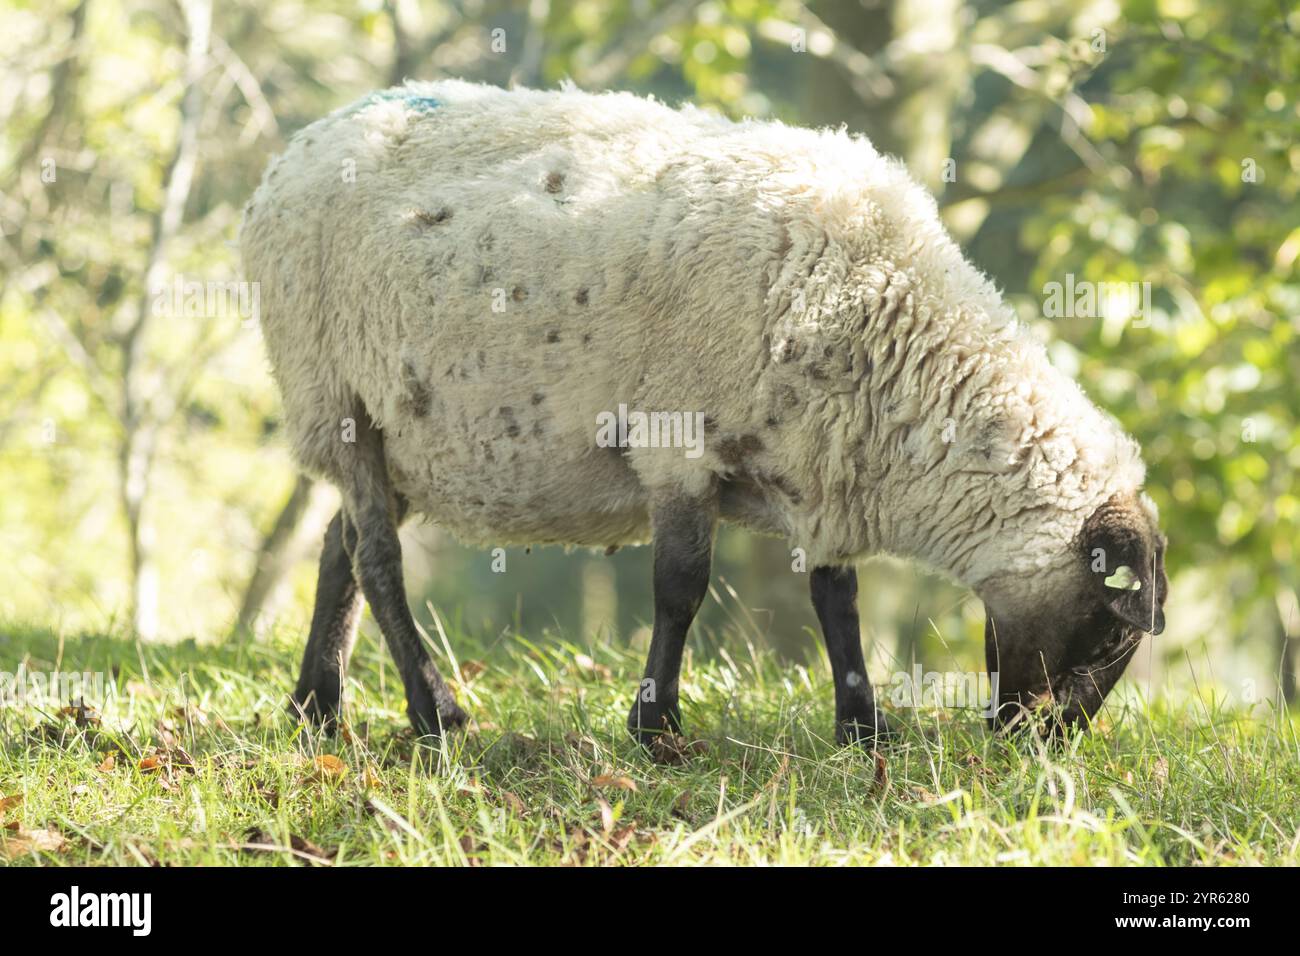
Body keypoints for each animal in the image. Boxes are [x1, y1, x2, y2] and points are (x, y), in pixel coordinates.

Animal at [241, 80, 1170, 749]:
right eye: (1109, 635)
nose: (1039, 746)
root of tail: (296, 149)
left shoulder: (818, 457)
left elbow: (837, 596)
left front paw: (864, 729)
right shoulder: (678, 443)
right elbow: (681, 587)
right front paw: (657, 730)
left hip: (395, 435)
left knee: (338, 548)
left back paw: (315, 707)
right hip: (337, 397)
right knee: (378, 561)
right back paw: (434, 714)